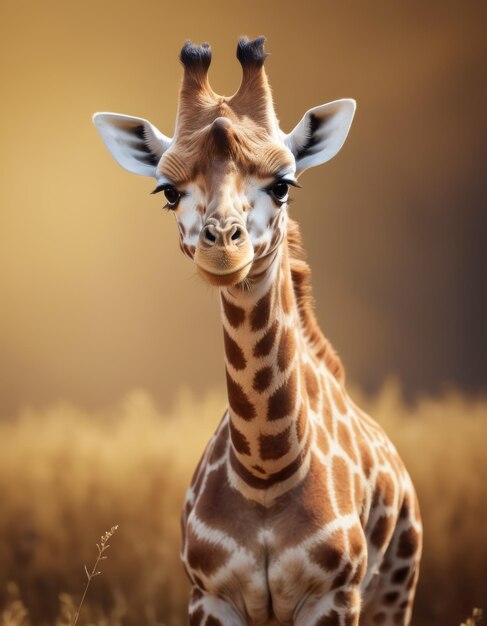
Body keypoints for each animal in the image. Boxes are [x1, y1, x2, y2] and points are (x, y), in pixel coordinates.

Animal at [94, 37, 424, 624]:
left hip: (395, 591)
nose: (224, 248)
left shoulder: (335, 596)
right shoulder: (210, 595)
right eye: (168, 191)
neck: (266, 469)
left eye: (283, 184)